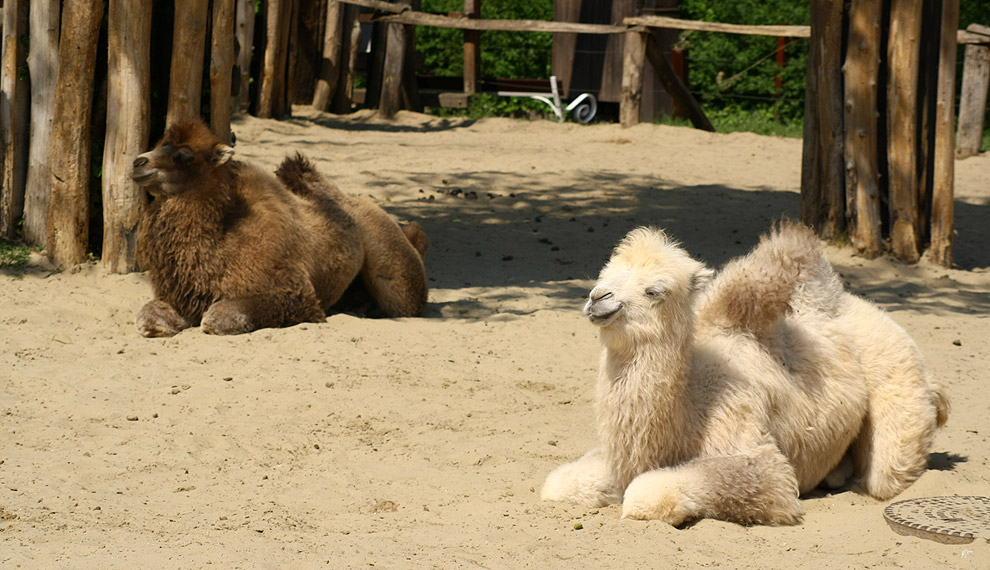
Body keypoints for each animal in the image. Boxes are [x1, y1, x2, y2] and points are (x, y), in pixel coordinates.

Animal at [548, 222, 948, 524]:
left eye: (655, 290)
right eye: (606, 273)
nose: (598, 297)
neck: (688, 402)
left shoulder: (749, 440)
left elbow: (649, 492)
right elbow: (559, 485)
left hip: (899, 378)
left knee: (887, 473)